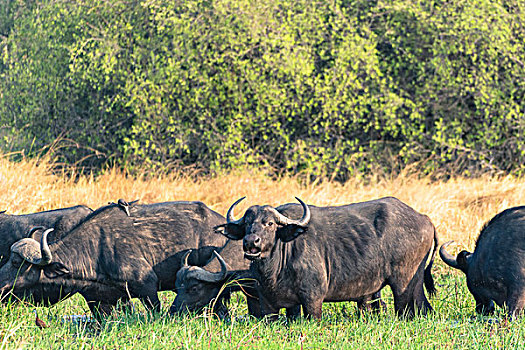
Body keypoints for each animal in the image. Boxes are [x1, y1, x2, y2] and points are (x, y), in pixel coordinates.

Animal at [0, 200, 227, 318]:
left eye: (15, 262)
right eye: (9, 258)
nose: (1, 284)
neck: (96, 250)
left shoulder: (148, 288)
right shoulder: (103, 300)